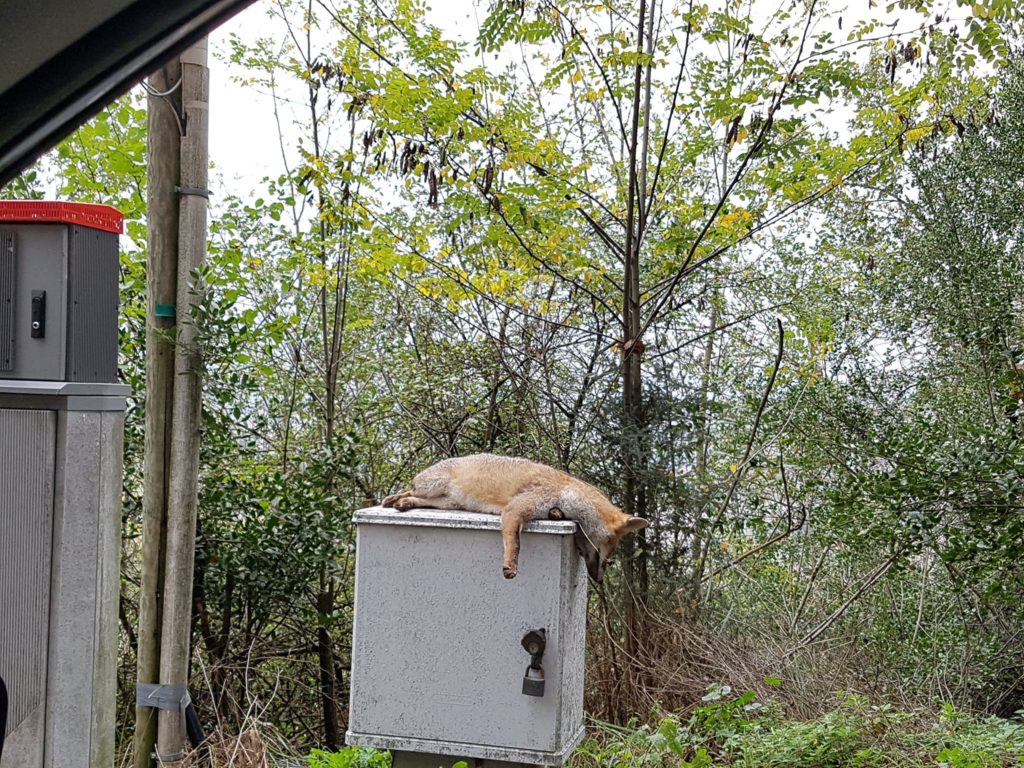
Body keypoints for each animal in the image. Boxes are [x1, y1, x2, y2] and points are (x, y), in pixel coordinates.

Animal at [385, 450, 647, 581]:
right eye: (610, 551)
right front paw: (510, 565)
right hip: (433, 487)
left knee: (417, 498)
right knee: (411, 490)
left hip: (448, 502)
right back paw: (395, 499)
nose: (600, 580)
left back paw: (402, 502)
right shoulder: (515, 510)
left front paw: (556, 514)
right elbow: (515, 543)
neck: (567, 492)